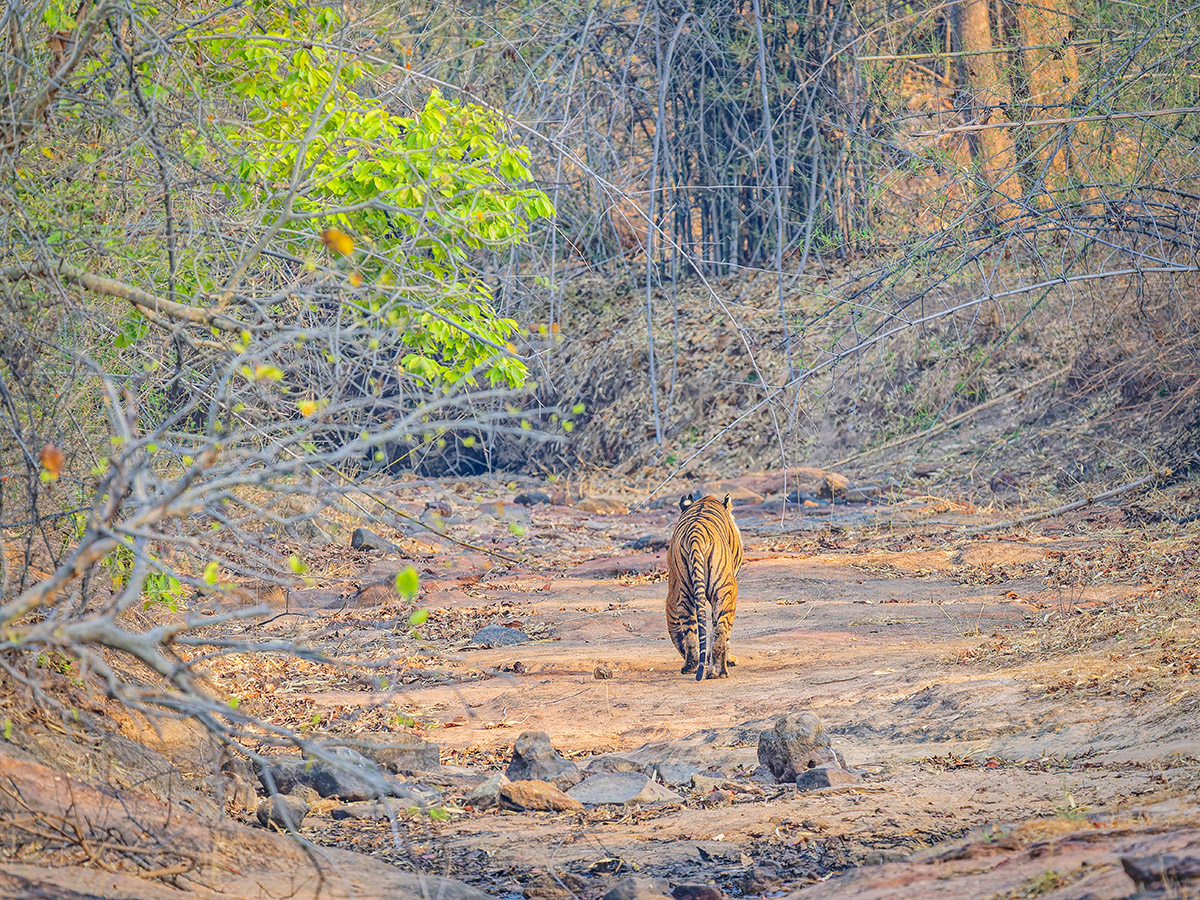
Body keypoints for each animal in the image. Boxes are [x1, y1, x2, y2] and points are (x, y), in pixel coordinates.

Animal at [665, 493, 744, 680]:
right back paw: (719, 671)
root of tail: (695, 535)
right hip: (725, 590)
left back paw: (692, 667)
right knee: (721, 631)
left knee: (690, 632)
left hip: (685, 592)